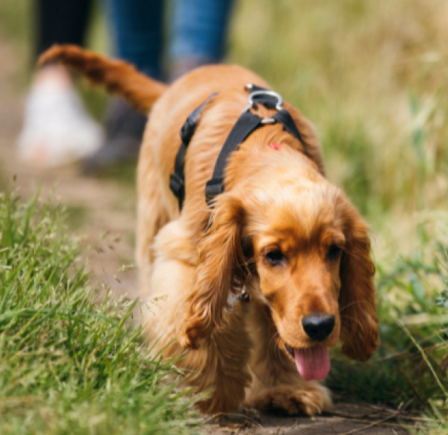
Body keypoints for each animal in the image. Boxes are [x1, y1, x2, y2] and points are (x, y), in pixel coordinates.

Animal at [40, 46, 380, 418]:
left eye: (334, 251)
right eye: (273, 255)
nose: (320, 326)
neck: (266, 149)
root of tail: (174, 85)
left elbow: (277, 333)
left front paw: (287, 390)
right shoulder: (191, 254)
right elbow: (200, 319)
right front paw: (211, 390)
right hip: (152, 214)